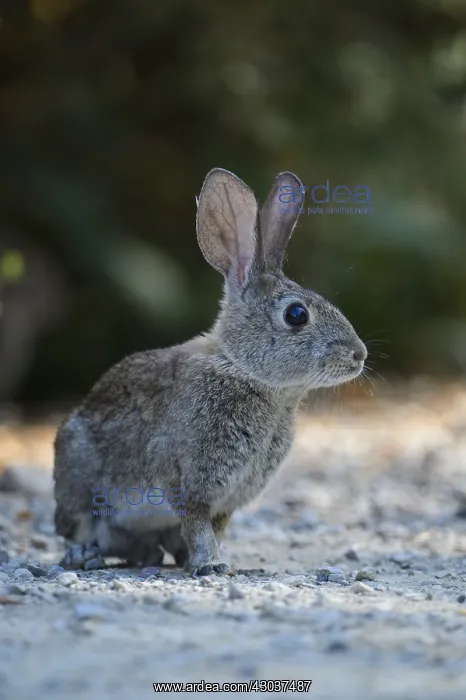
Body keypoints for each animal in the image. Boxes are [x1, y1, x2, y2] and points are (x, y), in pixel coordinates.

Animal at [53, 168, 367, 576]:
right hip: (80, 480)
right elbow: (198, 525)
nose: (359, 355)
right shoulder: (188, 480)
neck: (244, 370)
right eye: (296, 314)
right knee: (82, 530)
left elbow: (213, 530)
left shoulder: (228, 498)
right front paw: (211, 566)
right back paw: (85, 556)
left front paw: (220, 562)